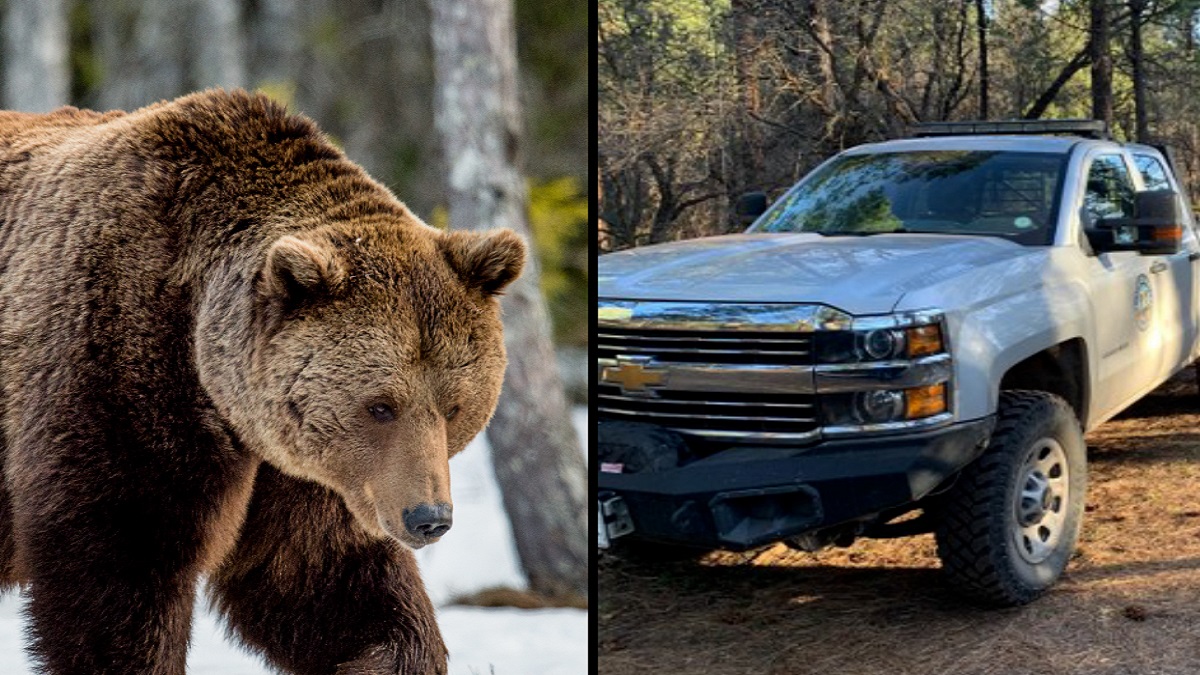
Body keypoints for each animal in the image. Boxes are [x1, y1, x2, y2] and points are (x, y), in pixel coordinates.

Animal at [0, 89, 525, 674]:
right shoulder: (112, 362)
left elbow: (322, 578)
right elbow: (122, 568)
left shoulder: (305, 468)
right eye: (380, 406)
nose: (429, 517)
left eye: (453, 407)